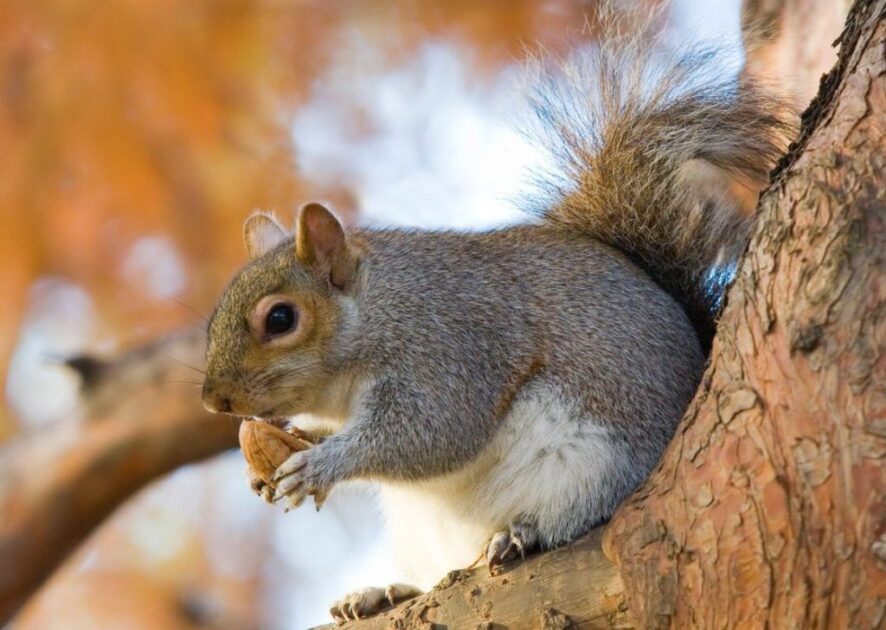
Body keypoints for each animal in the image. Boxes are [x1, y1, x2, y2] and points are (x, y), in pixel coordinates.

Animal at [201, 14, 791, 622]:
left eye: (280, 319)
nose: (214, 400)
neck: (377, 314)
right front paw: (283, 448)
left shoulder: (450, 347)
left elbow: (433, 432)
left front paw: (322, 464)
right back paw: (384, 592)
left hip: (595, 466)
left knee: (578, 512)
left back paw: (521, 533)